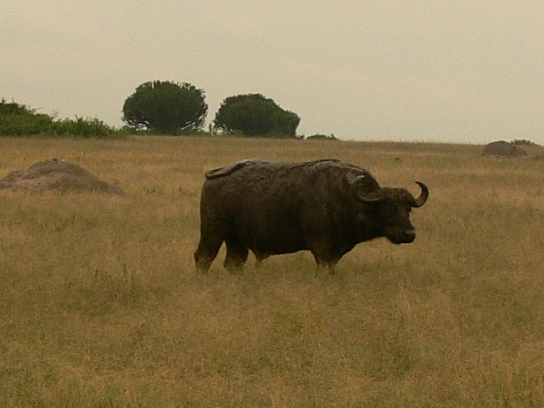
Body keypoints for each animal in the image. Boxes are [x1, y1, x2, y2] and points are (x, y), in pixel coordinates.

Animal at [194, 159, 429, 274]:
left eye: (408, 209)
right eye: (390, 208)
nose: (409, 233)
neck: (345, 197)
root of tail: (214, 176)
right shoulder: (322, 249)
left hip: (236, 240)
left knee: (234, 263)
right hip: (213, 233)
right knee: (203, 258)